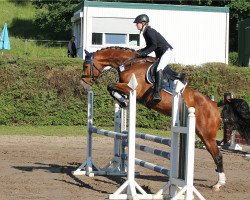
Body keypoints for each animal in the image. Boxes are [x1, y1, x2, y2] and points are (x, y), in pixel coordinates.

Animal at [81, 46, 226, 190]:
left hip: (207, 135)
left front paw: (124, 101)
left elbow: (110, 85)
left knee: (218, 156)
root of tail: (214, 104)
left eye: (86, 65)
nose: (84, 84)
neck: (129, 64)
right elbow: (111, 88)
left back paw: (219, 183)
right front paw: (123, 102)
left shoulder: (132, 88)